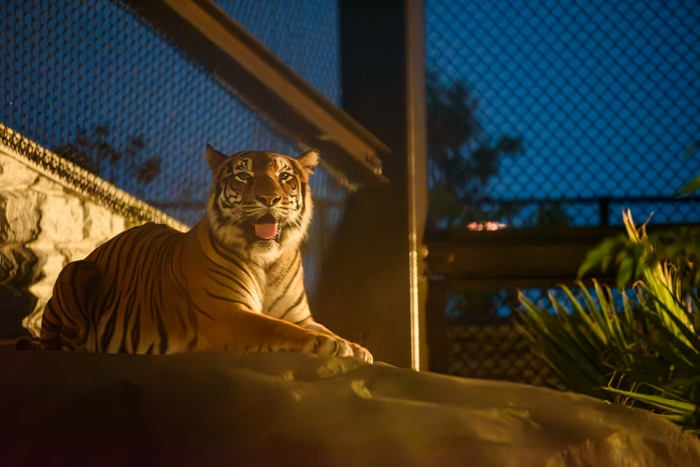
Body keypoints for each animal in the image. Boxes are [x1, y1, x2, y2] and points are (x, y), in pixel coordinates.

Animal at [40, 144, 374, 364]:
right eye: (243, 176)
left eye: (284, 176)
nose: (269, 198)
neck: (267, 262)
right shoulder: (226, 312)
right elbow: (275, 326)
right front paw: (326, 344)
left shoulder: (299, 316)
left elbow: (320, 327)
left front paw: (357, 348)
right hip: (75, 272)